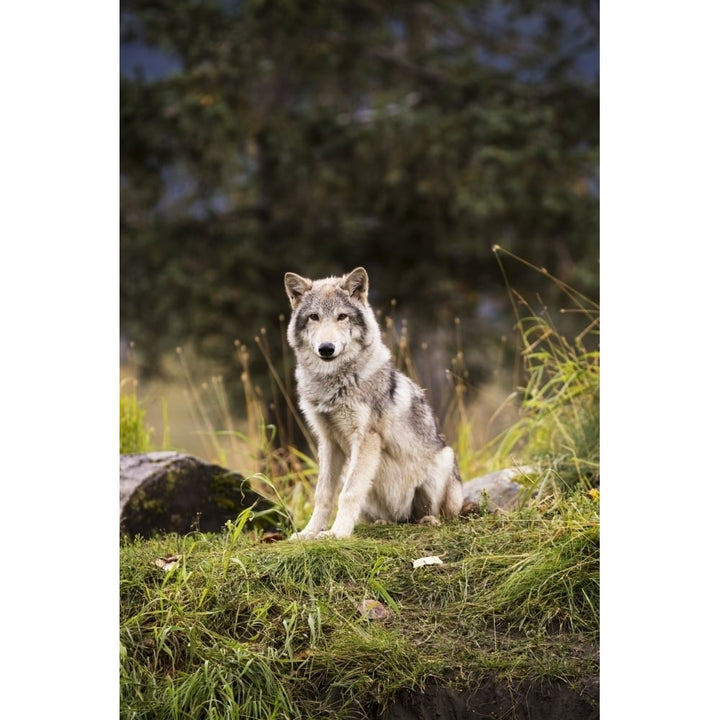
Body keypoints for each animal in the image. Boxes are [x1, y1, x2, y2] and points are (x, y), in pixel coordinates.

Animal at [284, 268, 464, 536]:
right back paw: (385, 522)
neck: (334, 382)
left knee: (438, 515)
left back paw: (428, 520)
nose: (326, 348)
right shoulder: (327, 442)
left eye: (342, 317)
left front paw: (337, 533)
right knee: (395, 518)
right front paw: (309, 533)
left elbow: (348, 493)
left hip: (444, 461)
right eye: (314, 317)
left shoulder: (366, 438)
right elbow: (323, 494)